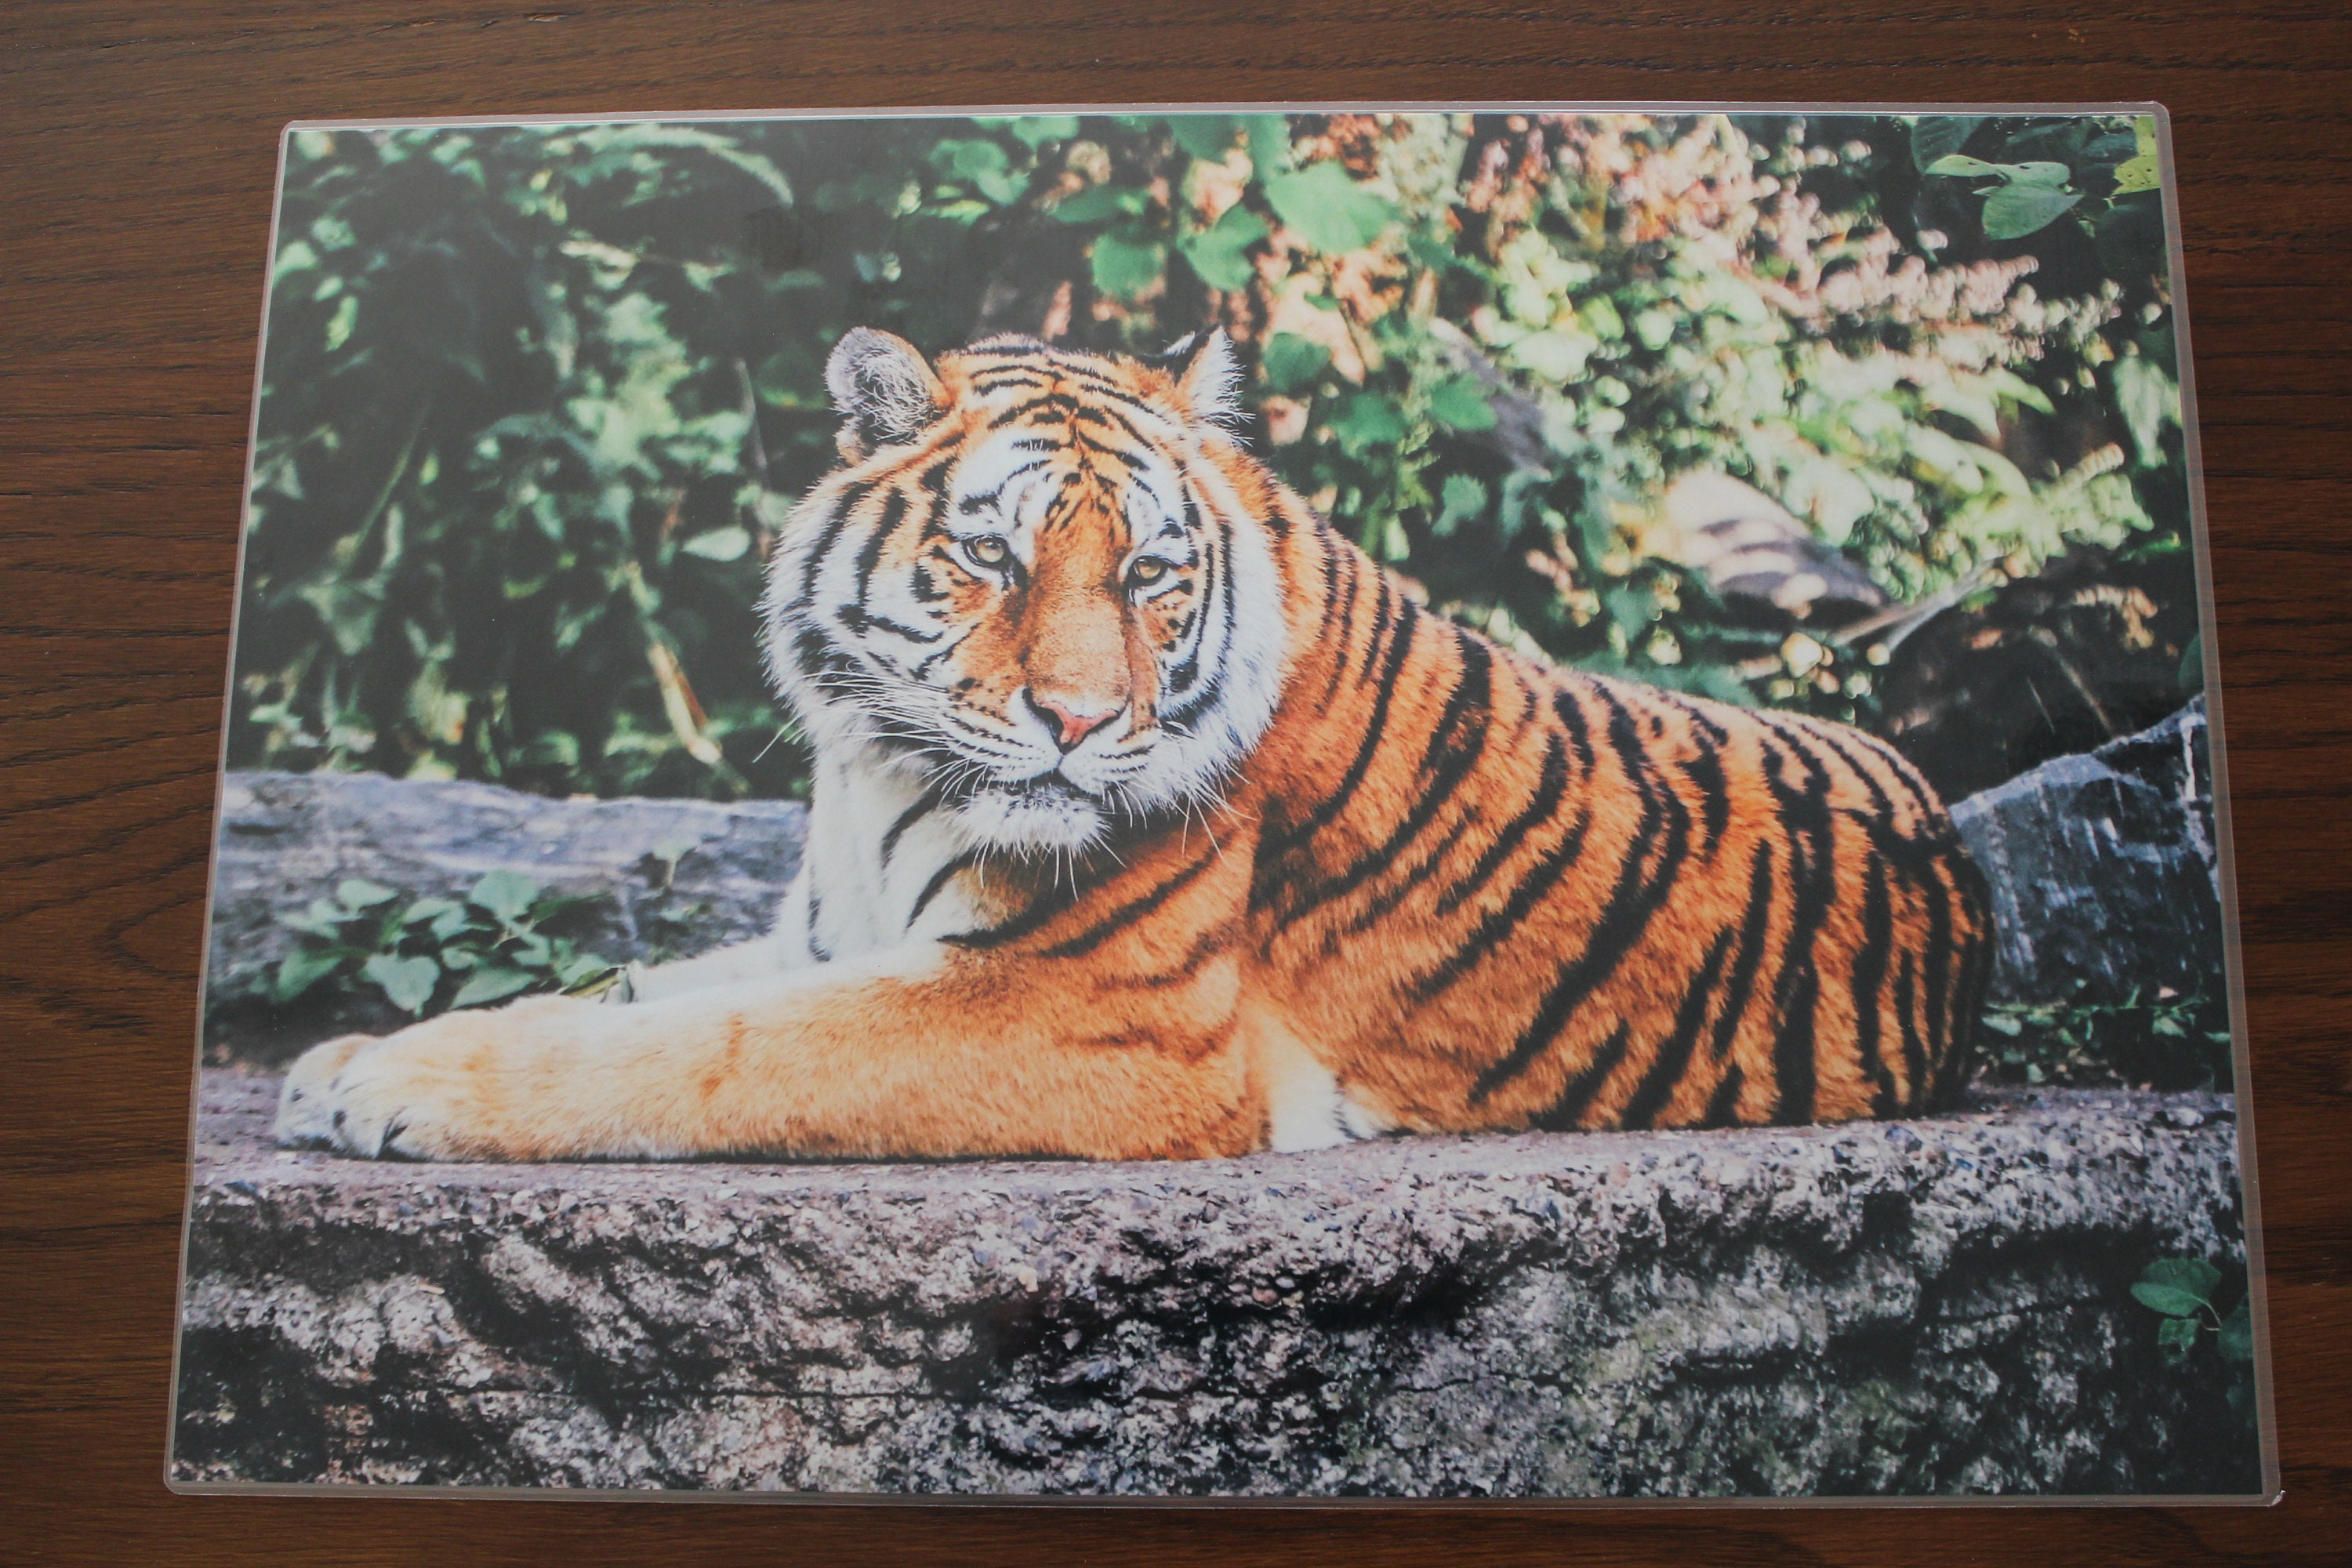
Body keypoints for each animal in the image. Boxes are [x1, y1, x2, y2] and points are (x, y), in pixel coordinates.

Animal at [275, 327, 1993, 1163]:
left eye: (1153, 574)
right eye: (995, 558)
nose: (1082, 723)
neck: (875, 766)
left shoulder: (1091, 1012)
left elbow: (707, 1047)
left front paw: (396, 1082)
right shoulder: (833, 930)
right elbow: (641, 992)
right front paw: (341, 1060)